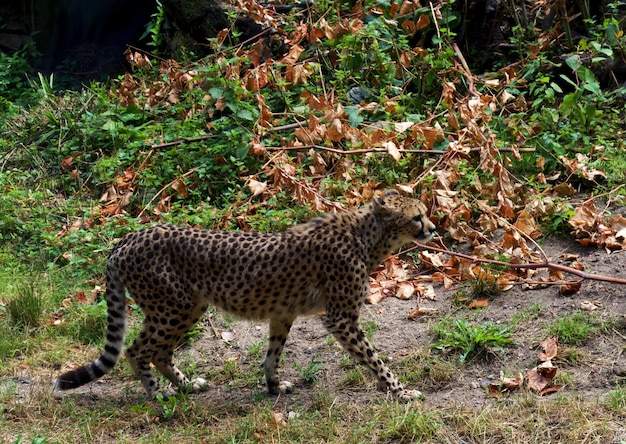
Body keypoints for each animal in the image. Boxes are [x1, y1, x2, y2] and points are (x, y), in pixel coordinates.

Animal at [54, 191, 434, 402]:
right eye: (417, 217)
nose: (432, 228)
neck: (368, 236)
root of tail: (129, 238)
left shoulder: (283, 312)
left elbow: (272, 355)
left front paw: (273, 388)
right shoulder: (341, 318)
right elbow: (375, 358)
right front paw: (400, 391)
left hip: (189, 305)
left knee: (160, 351)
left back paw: (188, 386)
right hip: (172, 306)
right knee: (137, 350)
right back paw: (158, 393)